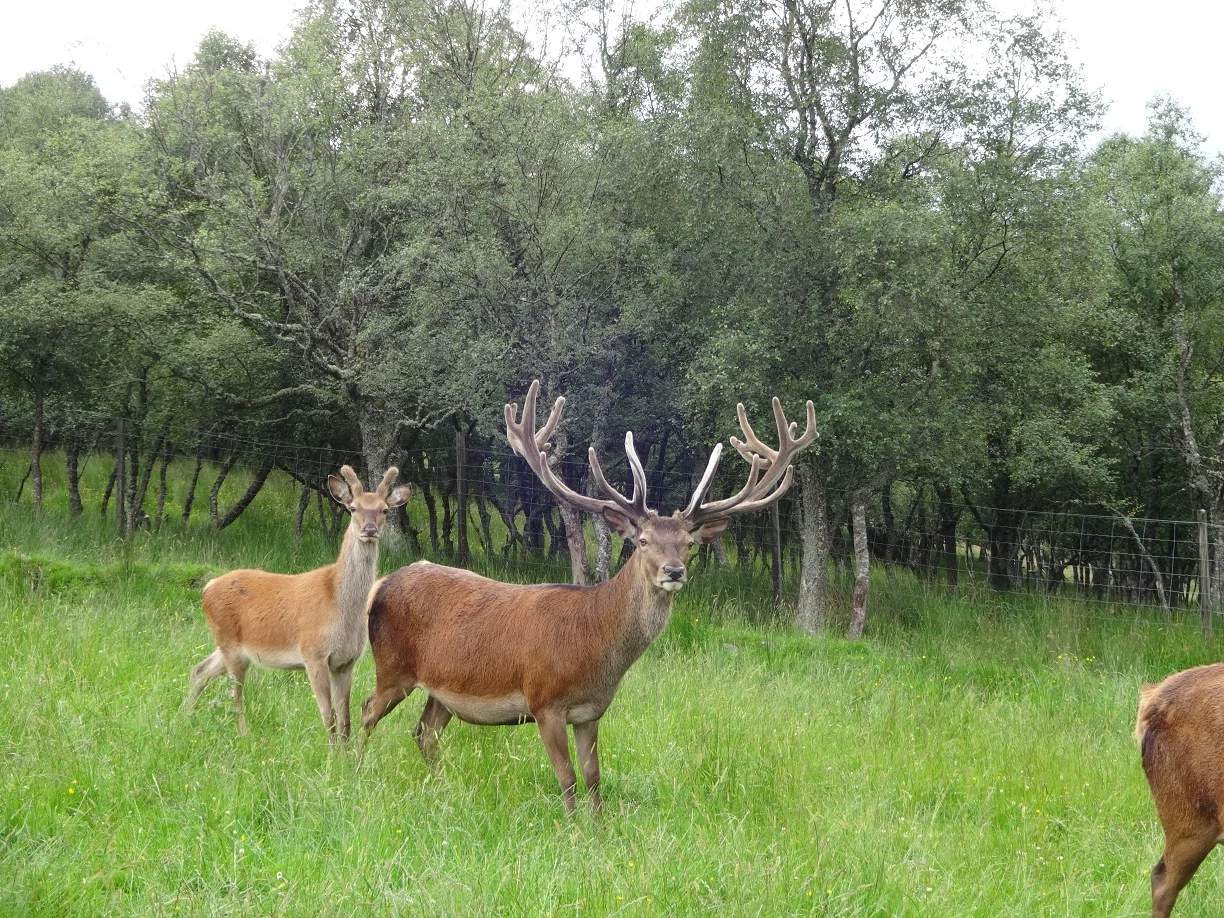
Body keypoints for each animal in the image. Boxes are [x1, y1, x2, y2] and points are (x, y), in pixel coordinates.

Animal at [183, 465, 411, 743]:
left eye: (384, 509)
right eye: (353, 507)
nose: (369, 529)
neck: (340, 607)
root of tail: (207, 588)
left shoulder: (346, 662)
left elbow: (345, 718)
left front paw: (344, 753)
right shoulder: (313, 653)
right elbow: (328, 715)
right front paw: (331, 752)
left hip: (229, 646)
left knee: (199, 671)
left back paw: (186, 717)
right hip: (230, 644)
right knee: (235, 694)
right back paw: (244, 735)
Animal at [357, 380, 817, 813]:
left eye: (689, 544)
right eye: (642, 540)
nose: (674, 571)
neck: (594, 650)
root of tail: (380, 586)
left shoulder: (592, 711)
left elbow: (594, 778)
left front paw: (598, 829)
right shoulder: (545, 703)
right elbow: (567, 778)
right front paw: (572, 829)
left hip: (441, 691)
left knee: (424, 732)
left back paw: (443, 788)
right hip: (393, 666)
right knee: (366, 709)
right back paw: (352, 769)